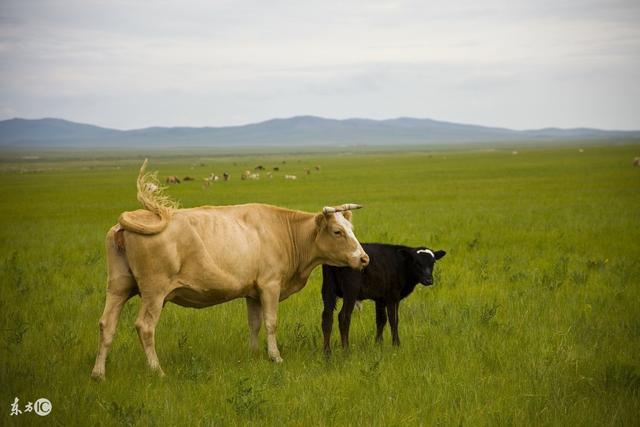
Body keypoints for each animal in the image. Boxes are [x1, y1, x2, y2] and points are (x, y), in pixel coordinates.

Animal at [91, 161, 370, 382]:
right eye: (337, 231)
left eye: (351, 229)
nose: (364, 258)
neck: (284, 231)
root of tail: (130, 219)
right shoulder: (270, 286)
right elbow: (271, 322)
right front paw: (275, 357)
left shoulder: (253, 292)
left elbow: (254, 324)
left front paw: (254, 355)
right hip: (154, 292)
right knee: (145, 327)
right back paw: (157, 370)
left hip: (118, 287)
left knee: (107, 324)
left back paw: (98, 373)